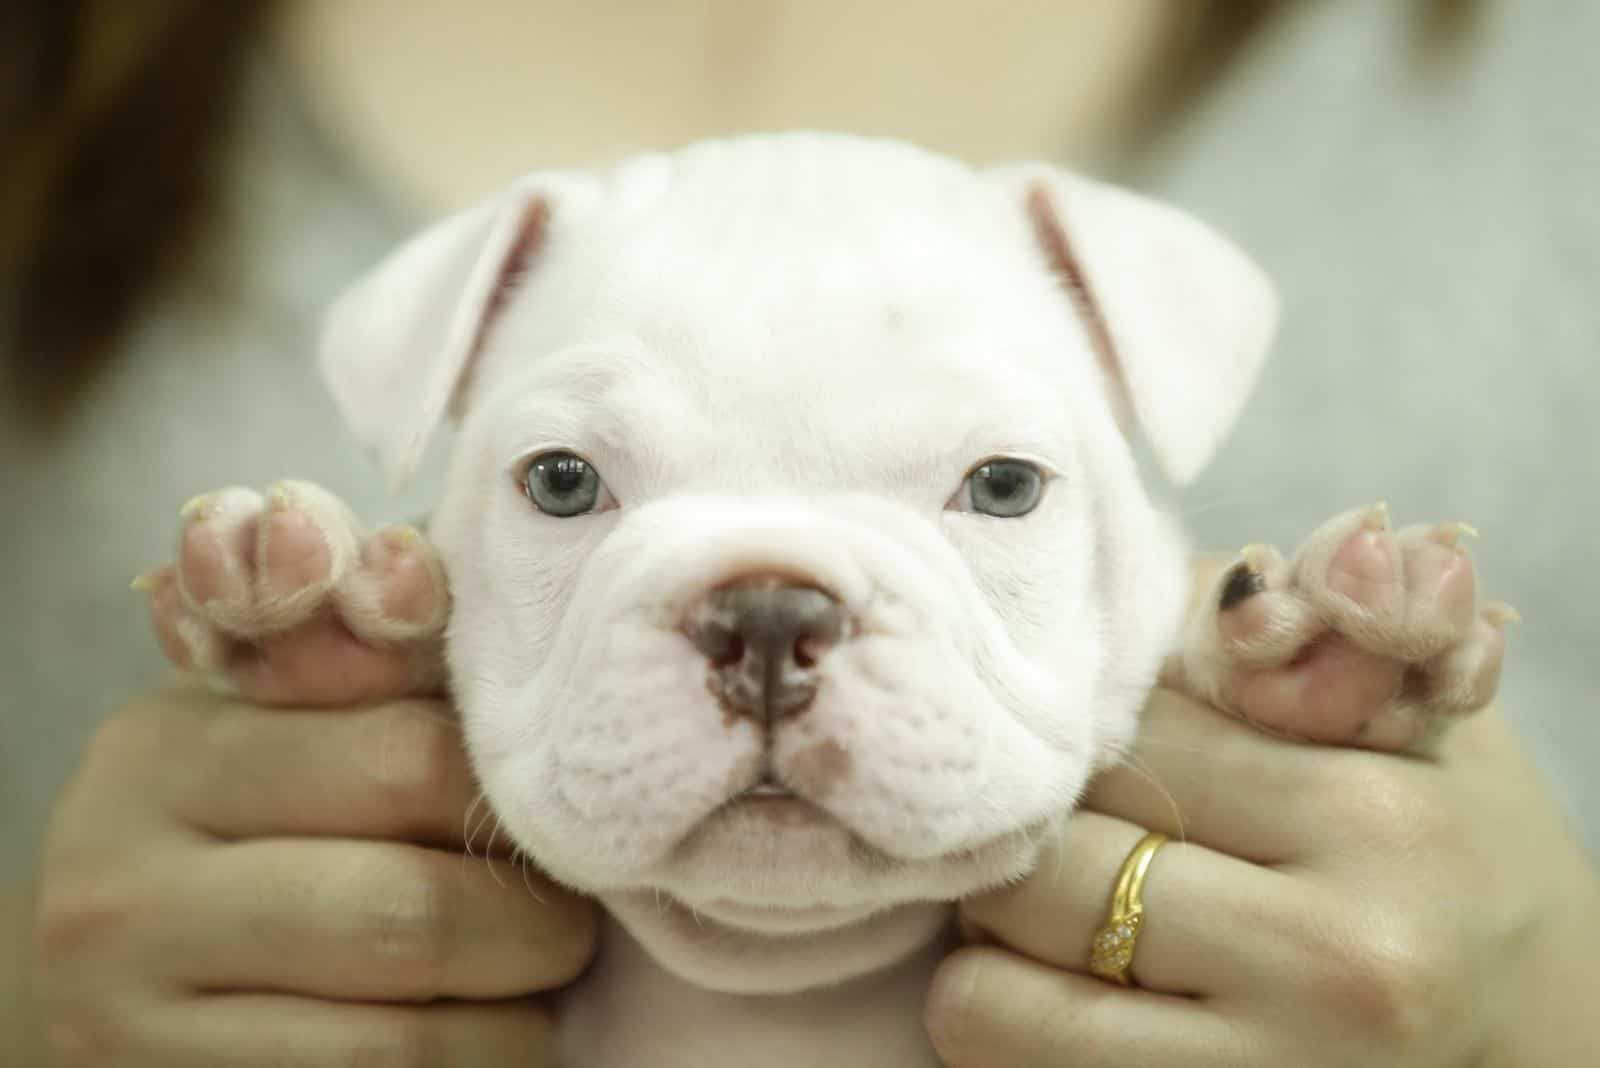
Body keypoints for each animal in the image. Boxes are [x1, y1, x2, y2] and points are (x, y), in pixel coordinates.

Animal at [168, 135, 1504, 1068]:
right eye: (561, 481)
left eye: (1004, 485)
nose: (766, 612)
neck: (783, 979)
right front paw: (307, 615)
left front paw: (1332, 650)